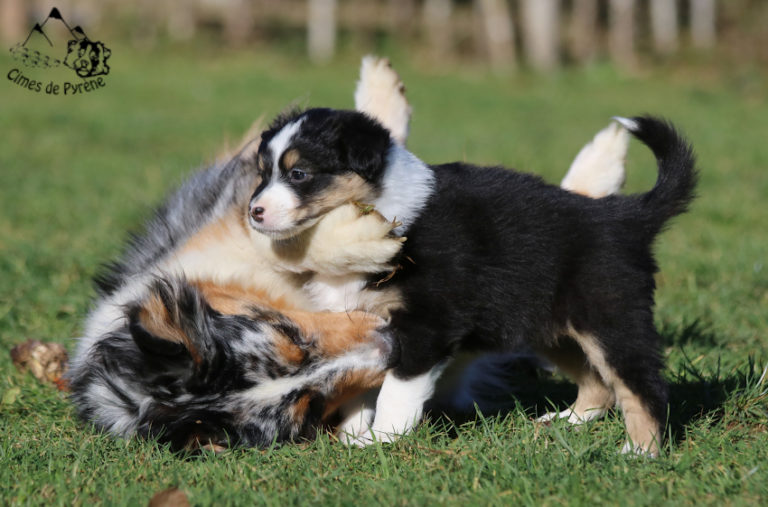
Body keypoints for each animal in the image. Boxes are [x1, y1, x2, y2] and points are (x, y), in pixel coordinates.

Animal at [249, 109, 696, 456]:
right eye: (262, 174)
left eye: (299, 173)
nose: (254, 212)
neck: (382, 213)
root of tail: (625, 215)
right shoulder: (359, 324)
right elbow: (358, 389)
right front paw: (353, 436)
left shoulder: (428, 325)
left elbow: (396, 390)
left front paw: (382, 441)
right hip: (552, 328)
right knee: (598, 383)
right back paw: (564, 421)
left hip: (610, 318)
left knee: (642, 386)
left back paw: (640, 452)